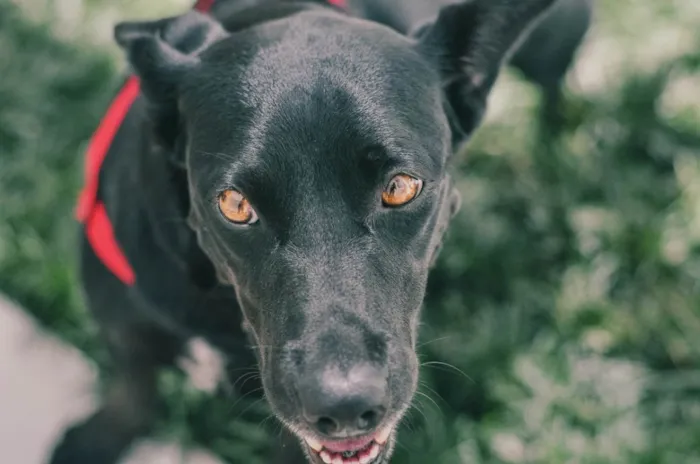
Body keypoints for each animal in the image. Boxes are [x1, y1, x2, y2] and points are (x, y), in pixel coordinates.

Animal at [50, 0, 592, 464]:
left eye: (400, 188)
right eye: (235, 205)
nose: (346, 405)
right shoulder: (123, 320)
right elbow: (133, 387)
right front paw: (100, 439)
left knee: (555, 88)